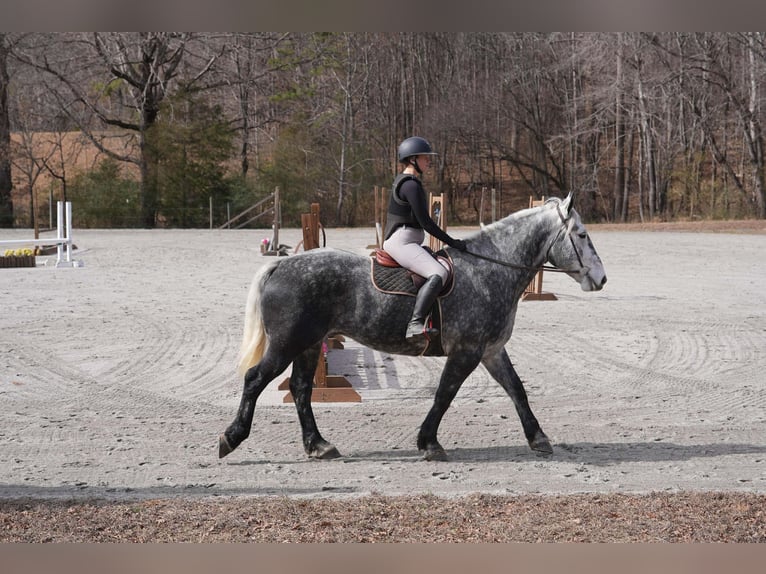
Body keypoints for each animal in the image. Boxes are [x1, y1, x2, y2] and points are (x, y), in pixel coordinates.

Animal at [219, 194, 607, 462]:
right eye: (582, 235)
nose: (601, 279)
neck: (490, 270)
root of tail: (282, 266)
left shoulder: (491, 351)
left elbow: (517, 390)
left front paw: (539, 439)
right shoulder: (467, 351)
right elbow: (444, 394)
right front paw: (429, 443)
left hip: (310, 344)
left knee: (301, 388)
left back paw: (319, 445)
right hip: (287, 343)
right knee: (255, 379)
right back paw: (231, 438)